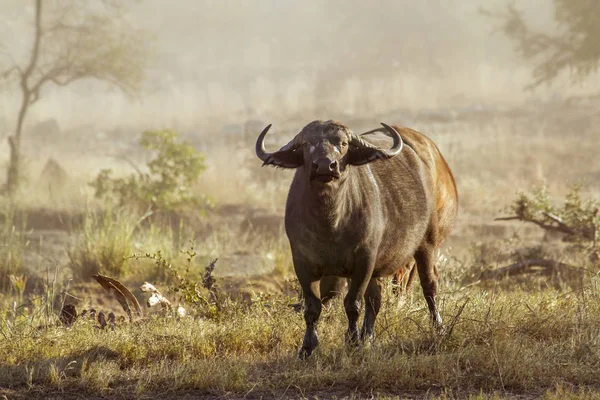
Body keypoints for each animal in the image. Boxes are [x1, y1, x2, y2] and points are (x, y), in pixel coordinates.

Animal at [255, 119, 458, 356]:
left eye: (343, 143)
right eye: (306, 144)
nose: (325, 165)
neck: (330, 223)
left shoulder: (364, 260)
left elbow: (353, 304)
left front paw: (352, 342)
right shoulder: (302, 263)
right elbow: (313, 306)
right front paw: (307, 348)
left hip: (427, 243)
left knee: (429, 285)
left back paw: (439, 329)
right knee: (376, 299)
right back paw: (368, 338)